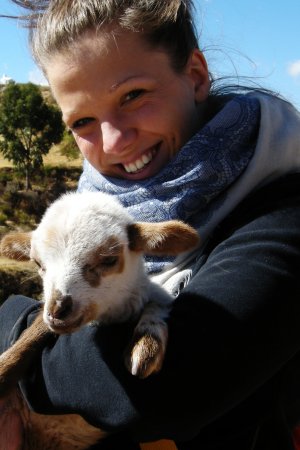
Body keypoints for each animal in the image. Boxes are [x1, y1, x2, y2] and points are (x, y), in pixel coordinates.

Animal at [0, 191, 199, 450]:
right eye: (38, 264)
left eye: (109, 260)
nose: (58, 310)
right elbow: (35, 331)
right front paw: (4, 368)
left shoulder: (149, 294)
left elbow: (158, 303)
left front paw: (145, 347)